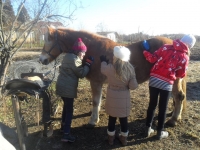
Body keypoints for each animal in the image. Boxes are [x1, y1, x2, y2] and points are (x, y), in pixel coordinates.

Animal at [38, 26, 186, 126]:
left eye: (48, 41)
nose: (41, 59)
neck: (94, 49)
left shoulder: (95, 82)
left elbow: (95, 101)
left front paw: (93, 120)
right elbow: (98, 101)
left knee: (179, 96)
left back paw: (173, 119)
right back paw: (175, 116)